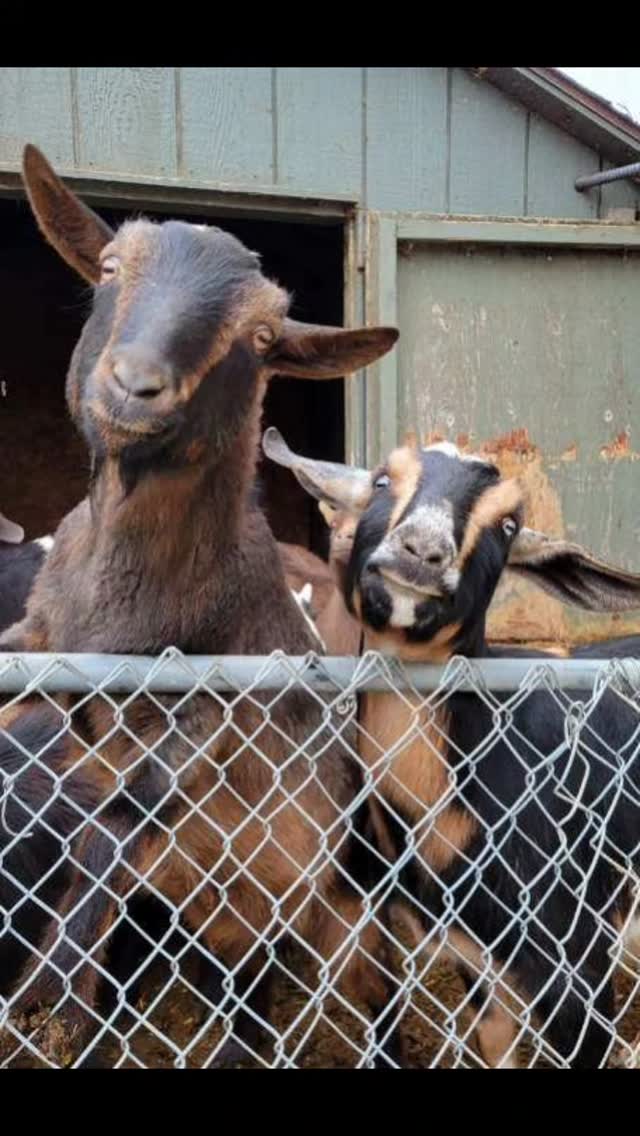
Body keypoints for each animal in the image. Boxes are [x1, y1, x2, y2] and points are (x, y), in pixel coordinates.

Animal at [0, 143, 400, 1068]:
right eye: (112, 268)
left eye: (262, 338)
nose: (135, 385)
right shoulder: (37, 639)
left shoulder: (205, 711)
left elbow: (114, 815)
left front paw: (56, 996)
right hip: (227, 923)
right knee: (242, 1000)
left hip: (336, 909)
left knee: (372, 997)